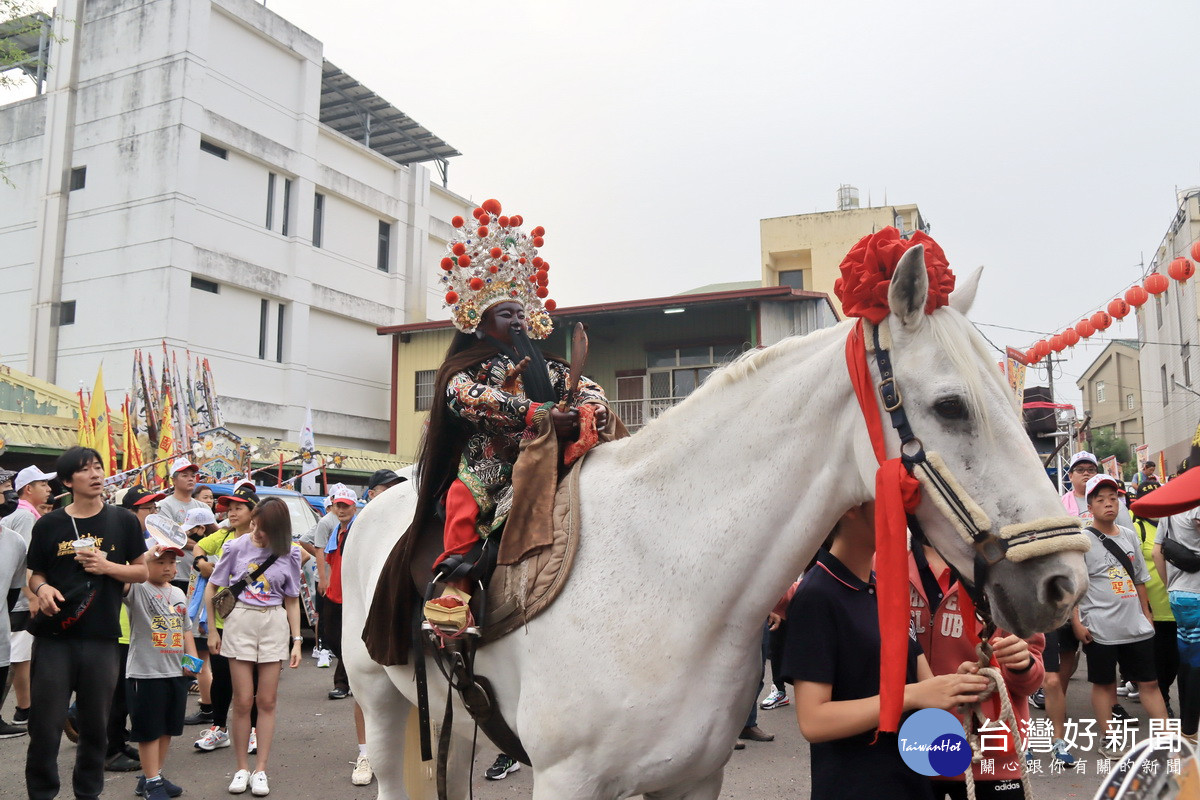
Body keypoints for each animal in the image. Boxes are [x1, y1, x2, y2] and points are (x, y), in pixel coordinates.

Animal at [340, 247, 1089, 796]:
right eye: (951, 406)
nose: (1064, 584)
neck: (672, 584)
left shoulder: (694, 776)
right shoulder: (567, 778)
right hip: (380, 695)